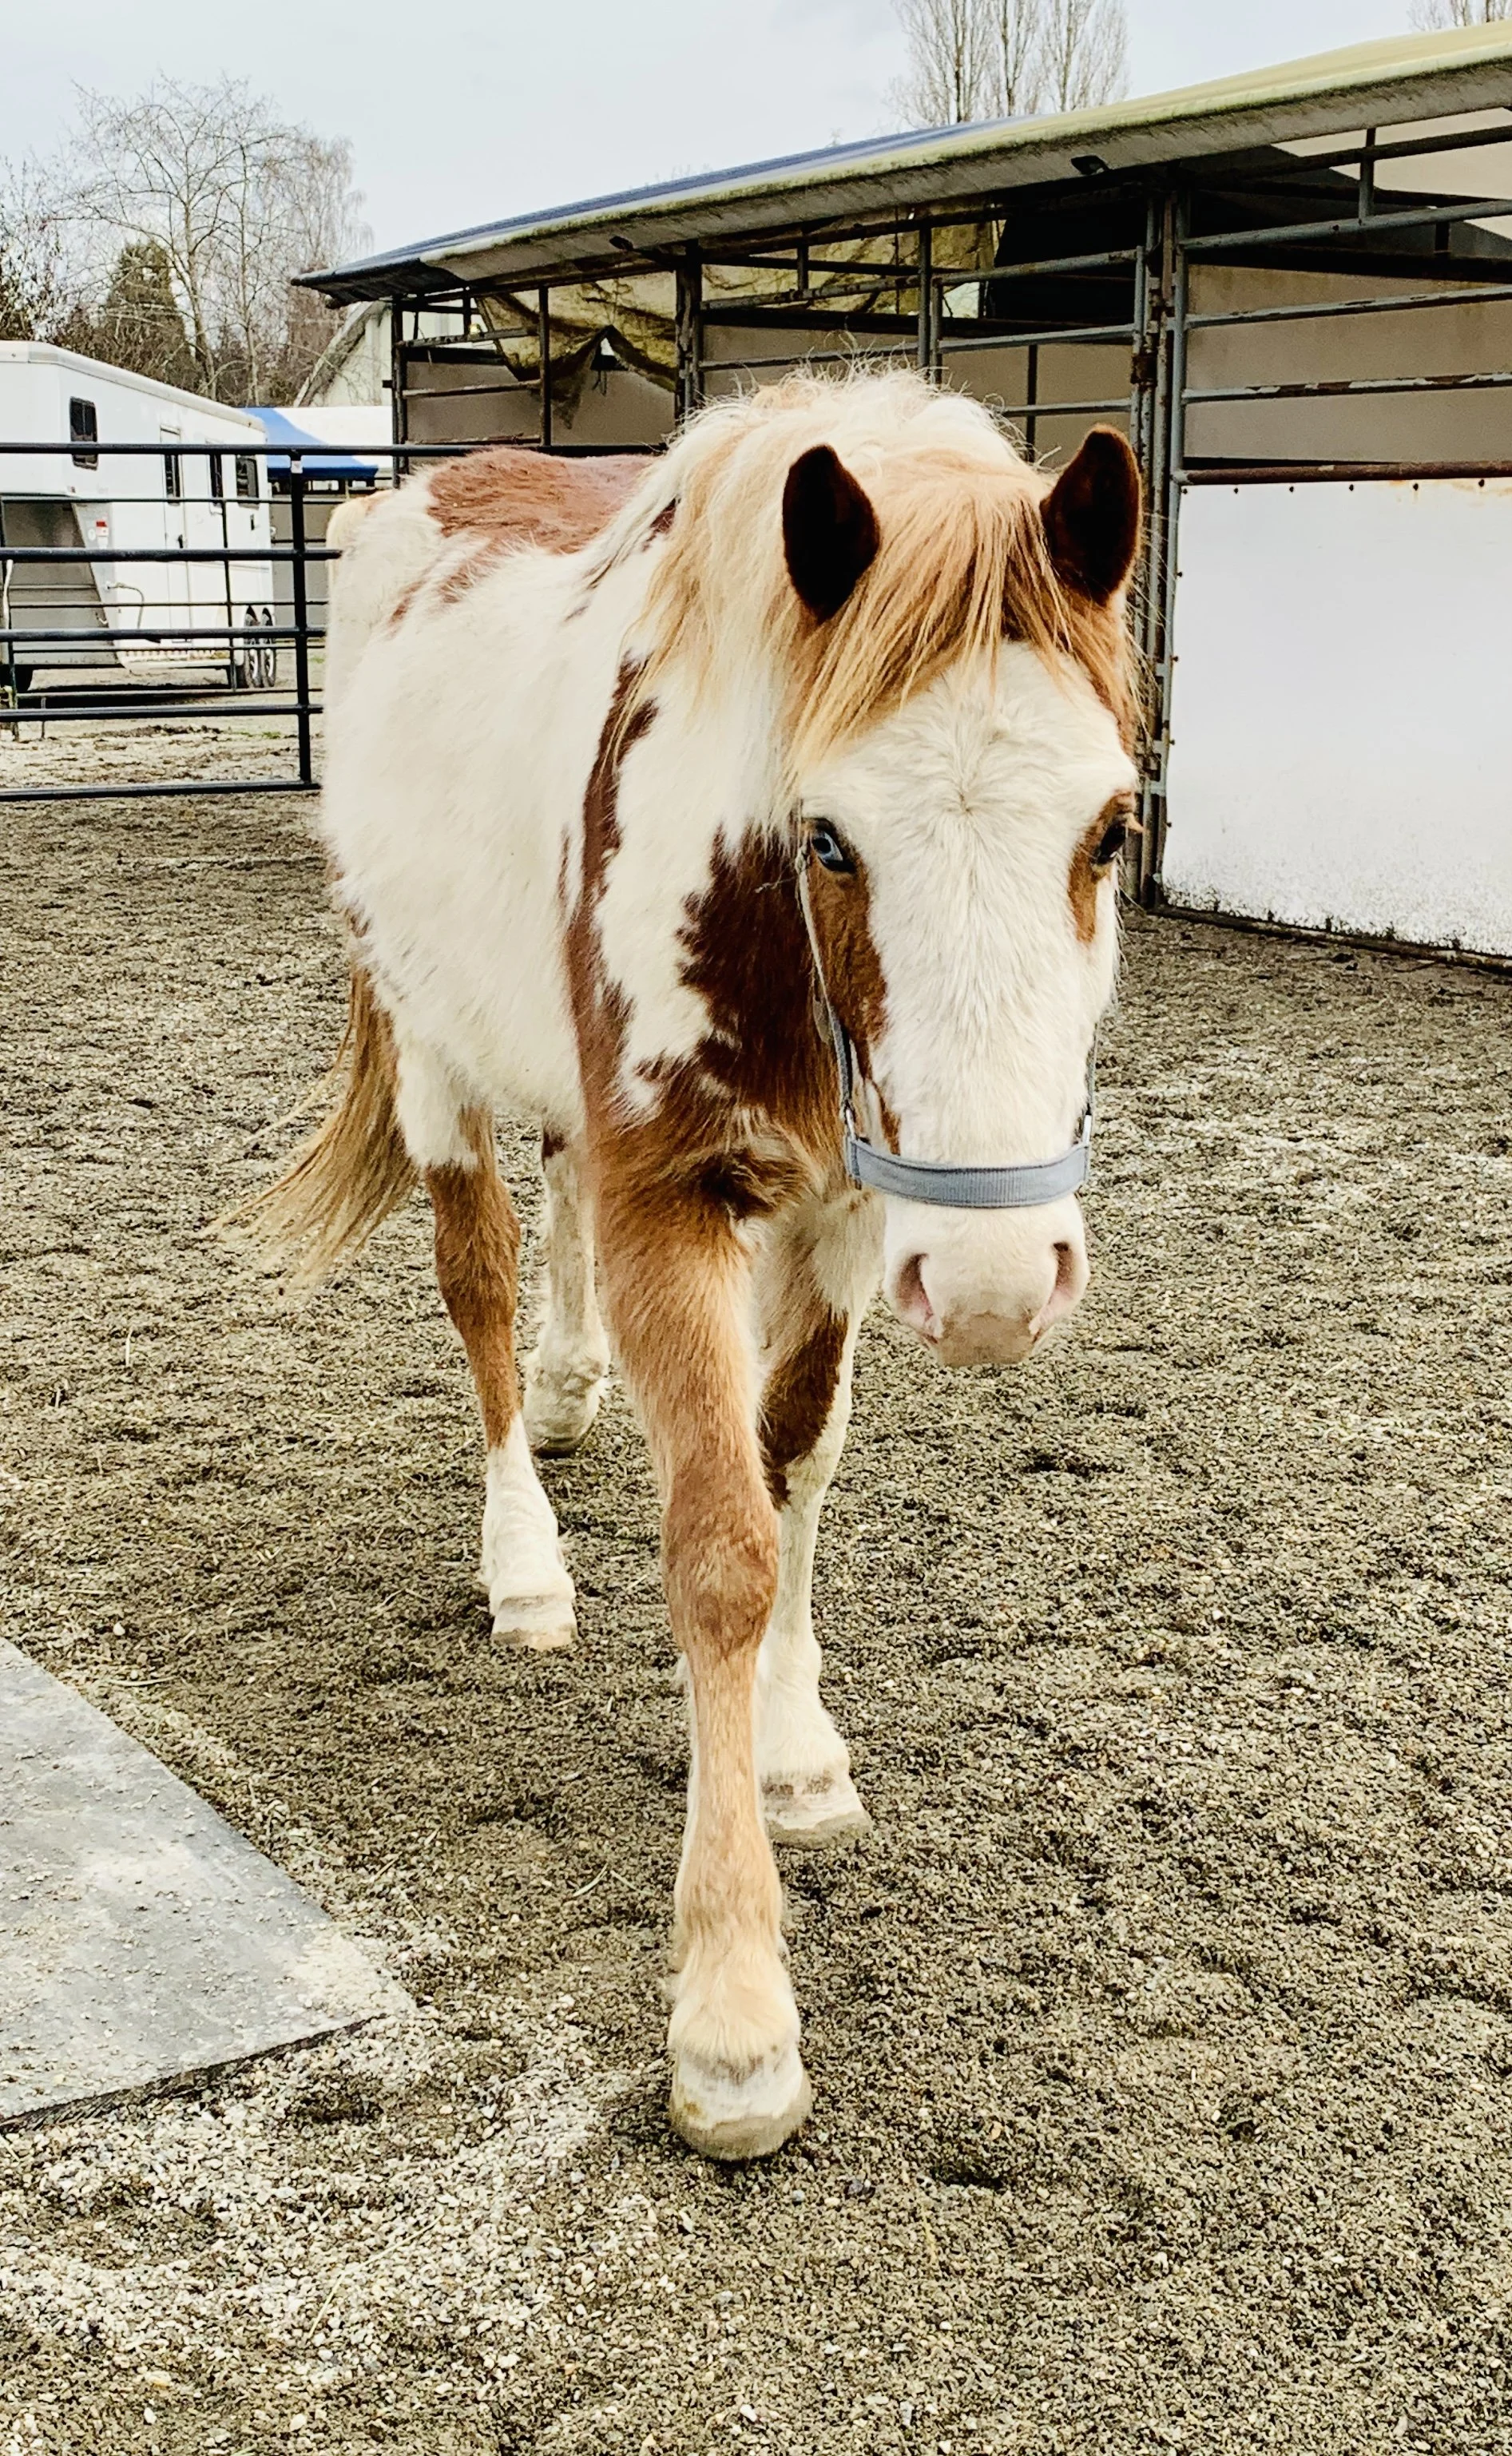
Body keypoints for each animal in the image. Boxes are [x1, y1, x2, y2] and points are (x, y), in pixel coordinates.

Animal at [242, 370, 1141, 2160]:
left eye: (1108, 824)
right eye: (831, 838)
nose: (997, 1280)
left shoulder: (847, 1210)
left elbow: (795, 1470)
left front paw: (796, 1755)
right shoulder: (678, 1201)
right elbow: (720, 1546)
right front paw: (732, 2012)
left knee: (556, 1205)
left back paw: (580, 1394)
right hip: (432, 1047)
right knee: (481, 1283)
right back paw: (524, 1556)